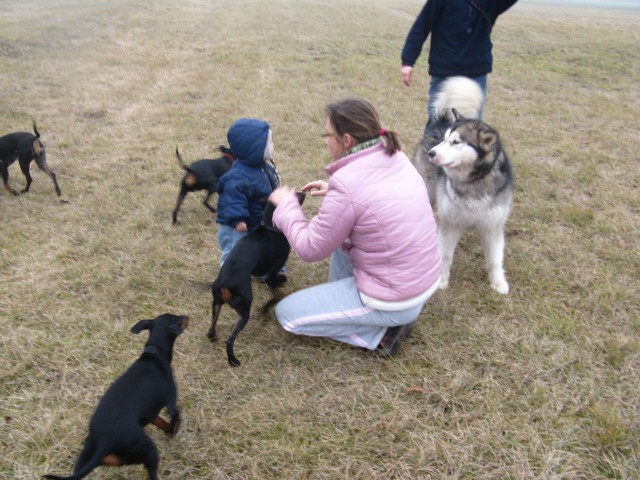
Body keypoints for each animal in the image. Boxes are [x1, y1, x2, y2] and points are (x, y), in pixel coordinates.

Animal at [43, 312, 189, 480]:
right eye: (175, 318)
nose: (187, 316)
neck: (154, 354)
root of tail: (104, 445)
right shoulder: (170, 398)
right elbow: (176, 413)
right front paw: (175, 428)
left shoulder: (149, 414)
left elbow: (161, 422)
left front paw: (170, 430)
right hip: (148, 449)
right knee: (152, 473)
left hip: (87, 455)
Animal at [206, 191, 304, 368]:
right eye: (293, 195)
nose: (304, 192)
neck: (270, 227)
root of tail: (224, 284)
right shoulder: (270, 275)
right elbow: (276, 294)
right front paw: (265, 308)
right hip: (244, 309)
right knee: (230, 340)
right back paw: (233, 360)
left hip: (216, 304)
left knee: (212, 327)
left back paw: (213, 337)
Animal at [412, 77, 512, 294]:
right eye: (444, 140)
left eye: (456, 142)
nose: (432, 153)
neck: (472, 182)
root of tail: (441, 120)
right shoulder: (450, 223)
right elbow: (445, 255)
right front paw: (441, 280)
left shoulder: (492, 225)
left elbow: (494, 259)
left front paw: (498, 283)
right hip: (428, 189)